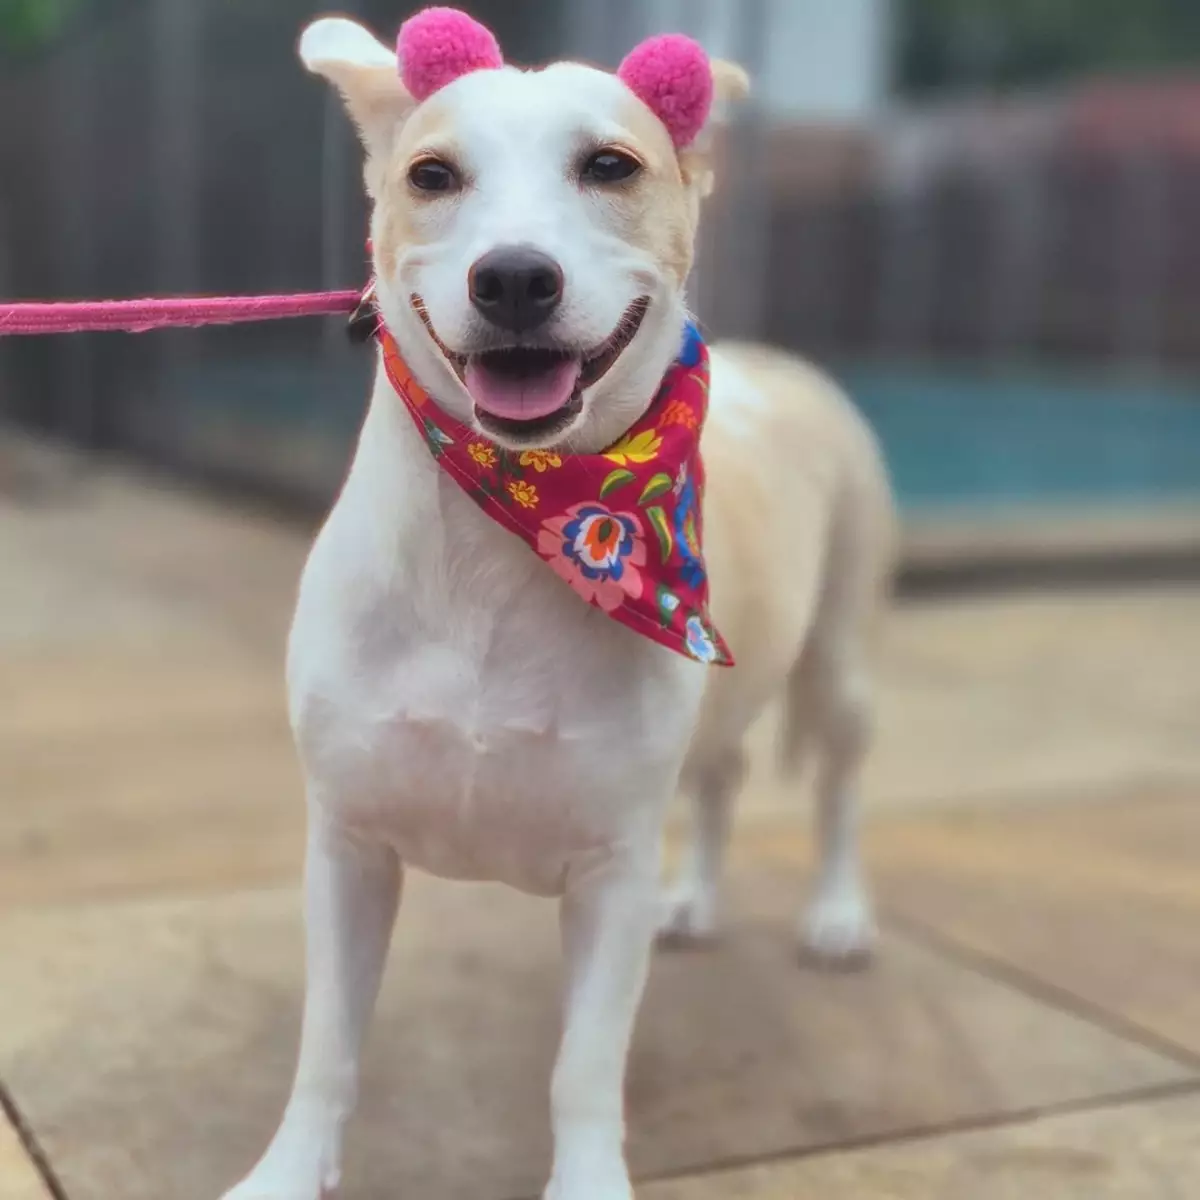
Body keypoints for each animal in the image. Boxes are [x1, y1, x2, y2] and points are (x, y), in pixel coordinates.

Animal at [221, 11, 895, 1200]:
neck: (513, 521)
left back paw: (837, 912)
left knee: (839, 786)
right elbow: (327, 1047)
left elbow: (584, 1067)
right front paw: (289, 1169)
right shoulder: (347, 849)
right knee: (721, 778)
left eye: (610, 167)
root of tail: (778, 366)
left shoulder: (609, 873)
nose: (515, 279)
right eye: (432, 176)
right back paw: (698, 899)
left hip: (840, 654)